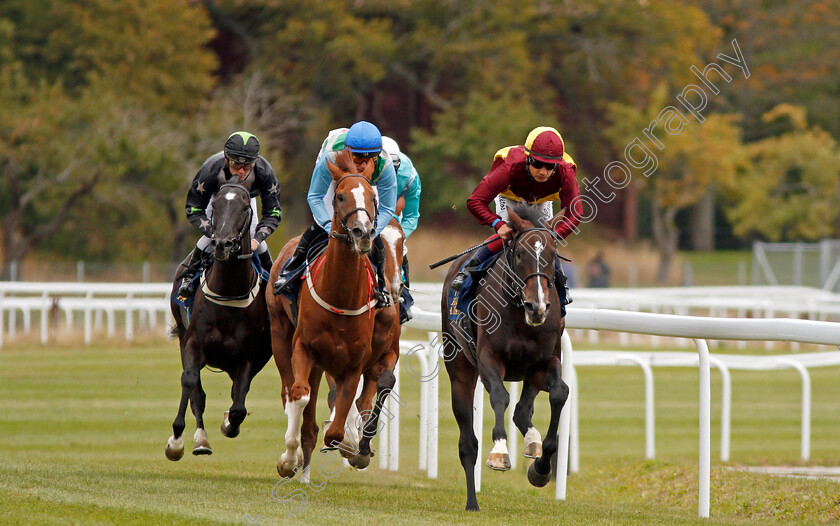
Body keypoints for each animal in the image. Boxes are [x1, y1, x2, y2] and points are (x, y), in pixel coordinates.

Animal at [163, 185, 270, 462]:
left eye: (244, 208)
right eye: (217, 205)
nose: (222, 244)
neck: (228, 293)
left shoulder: (248, 357)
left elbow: (239, 406)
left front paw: (229, 424)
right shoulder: (193, 343)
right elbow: (192, 386)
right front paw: (176, 440)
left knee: (237, 395)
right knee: (197, 394)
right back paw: (200, 439)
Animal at [270, 150, 400, 482]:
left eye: (373, 198)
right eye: (340, 196)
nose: (363, 232)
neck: (340, 294)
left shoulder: (354, 362)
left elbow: (339, 425)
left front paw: (354, 447)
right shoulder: (304, 347)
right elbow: (300, 396)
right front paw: (288, 459)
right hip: (280, 335)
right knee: (289, 390)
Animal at [440, 207, 572, 512]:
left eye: (552, 253)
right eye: (520, 253)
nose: (537, 306)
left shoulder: (543, 363)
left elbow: (560, 392)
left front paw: (542, 468)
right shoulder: (489, 359)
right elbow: (500, 396)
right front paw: (499, 452)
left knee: (523, 411)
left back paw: (533, 442)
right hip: (459, 368)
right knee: (467, 443)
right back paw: (472, 502)